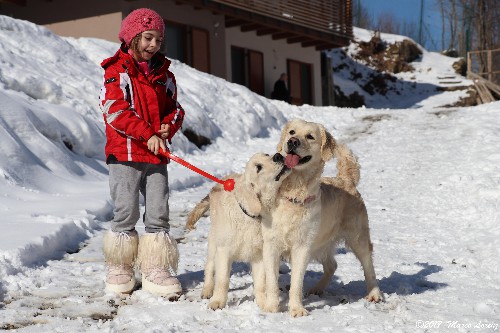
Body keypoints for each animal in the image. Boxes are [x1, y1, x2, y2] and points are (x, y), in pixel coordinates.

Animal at [186, 152, 292, 308]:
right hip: (214, 242)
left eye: (267, 154)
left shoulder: (259, 254)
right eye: (258, 167)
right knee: (210, 266)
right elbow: (222, 279)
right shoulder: (224, 251)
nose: (278, 156)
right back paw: (207, 290)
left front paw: (262, 303)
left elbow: (260, 283)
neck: (249, 215)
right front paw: (218, 301)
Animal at [262, 118, 382, 316]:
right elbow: (271, 280)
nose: (292, 142)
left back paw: (375, 294)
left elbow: (296, 283)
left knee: (368, 266)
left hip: (357, 238)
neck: (293, 194)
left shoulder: (302, 247)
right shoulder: (271, 244)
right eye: (292, 132)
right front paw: (271, 307)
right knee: (332, 265)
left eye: (310, 136)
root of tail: (346, 180)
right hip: (320, 244)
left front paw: (297, 309)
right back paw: (317, 288)